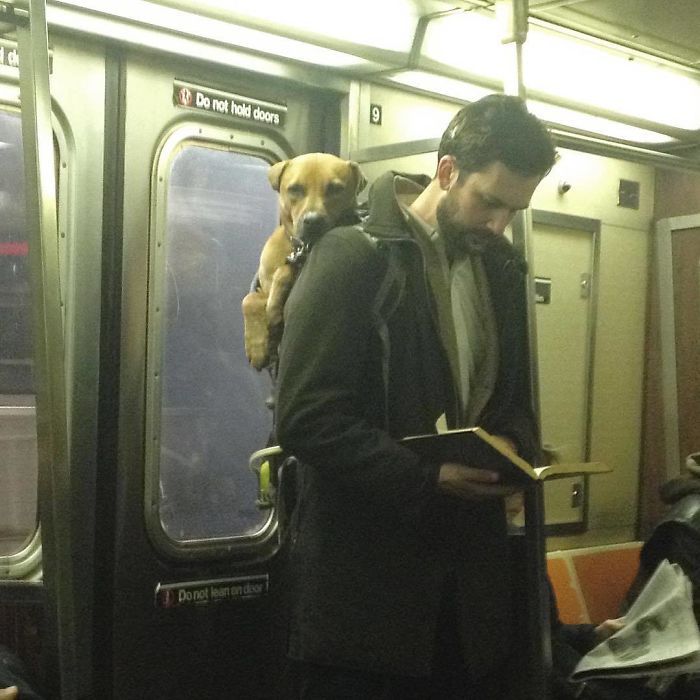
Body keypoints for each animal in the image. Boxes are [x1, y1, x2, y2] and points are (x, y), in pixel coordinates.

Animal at [242, 152, 366, 372]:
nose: (313, 220)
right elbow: (248, 299)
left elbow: (284, 274)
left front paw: (275, 306)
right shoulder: (261, 288)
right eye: (295, 189)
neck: (298, 249)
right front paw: (256, 346)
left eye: (336, 189)